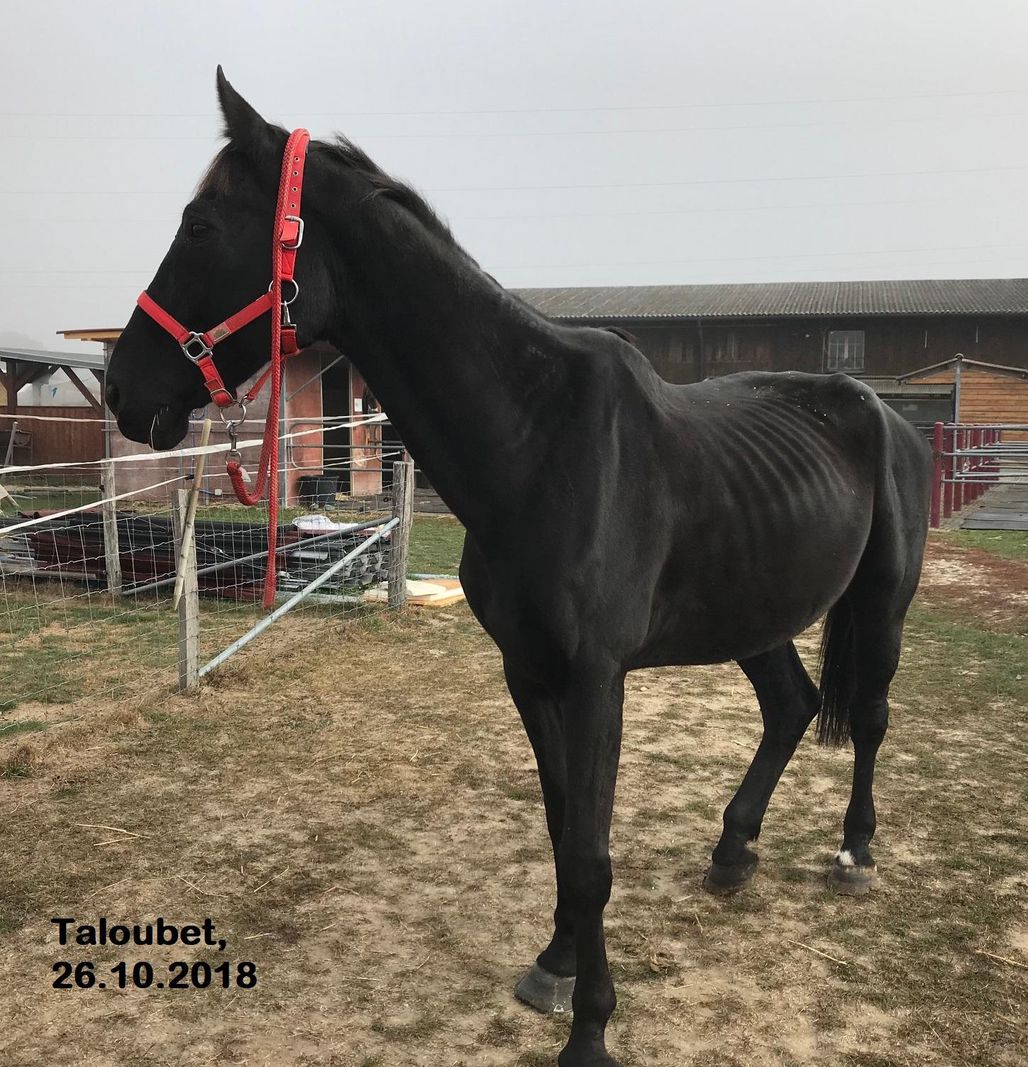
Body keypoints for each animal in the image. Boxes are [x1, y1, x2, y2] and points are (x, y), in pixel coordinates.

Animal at [105, 69, 933, 1067]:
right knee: (791, 706)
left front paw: (591, 1028)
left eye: (199, 226)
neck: (537, 442)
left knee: (871, 718)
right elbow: (560, 821)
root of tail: (879, 413)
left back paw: (854, 853)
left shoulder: (596, 677)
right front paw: (557, 963)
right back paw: (733, 851)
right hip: (752, 612)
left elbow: (590, 850)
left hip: (882, 604)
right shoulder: (527, 670)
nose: (120, 387)